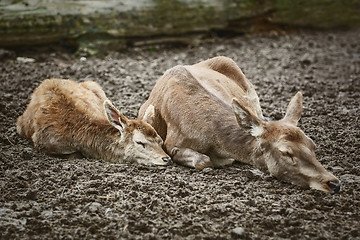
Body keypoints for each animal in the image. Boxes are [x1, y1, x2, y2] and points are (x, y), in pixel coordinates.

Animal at [139, 55, 342, 193]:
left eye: (313, 145)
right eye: (286, 152)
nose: (334, 183)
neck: (213, 141)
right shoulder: (171, 144)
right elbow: (204, 160)